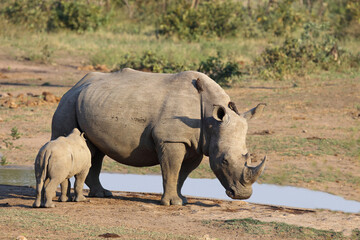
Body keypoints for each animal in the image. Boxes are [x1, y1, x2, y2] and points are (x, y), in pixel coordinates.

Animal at [50, 68, 266, 205]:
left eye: (248, 156)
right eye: (224, 161)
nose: (243, 195)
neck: (211, 119)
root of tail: (76, 84)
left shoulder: (197, 144)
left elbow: (182, 174)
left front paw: (182, 200)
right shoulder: (172, 139)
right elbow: (171, 170)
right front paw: (172, 203)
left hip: (87, 101)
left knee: (95, 151)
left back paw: (103, 195)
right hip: (68, 102)